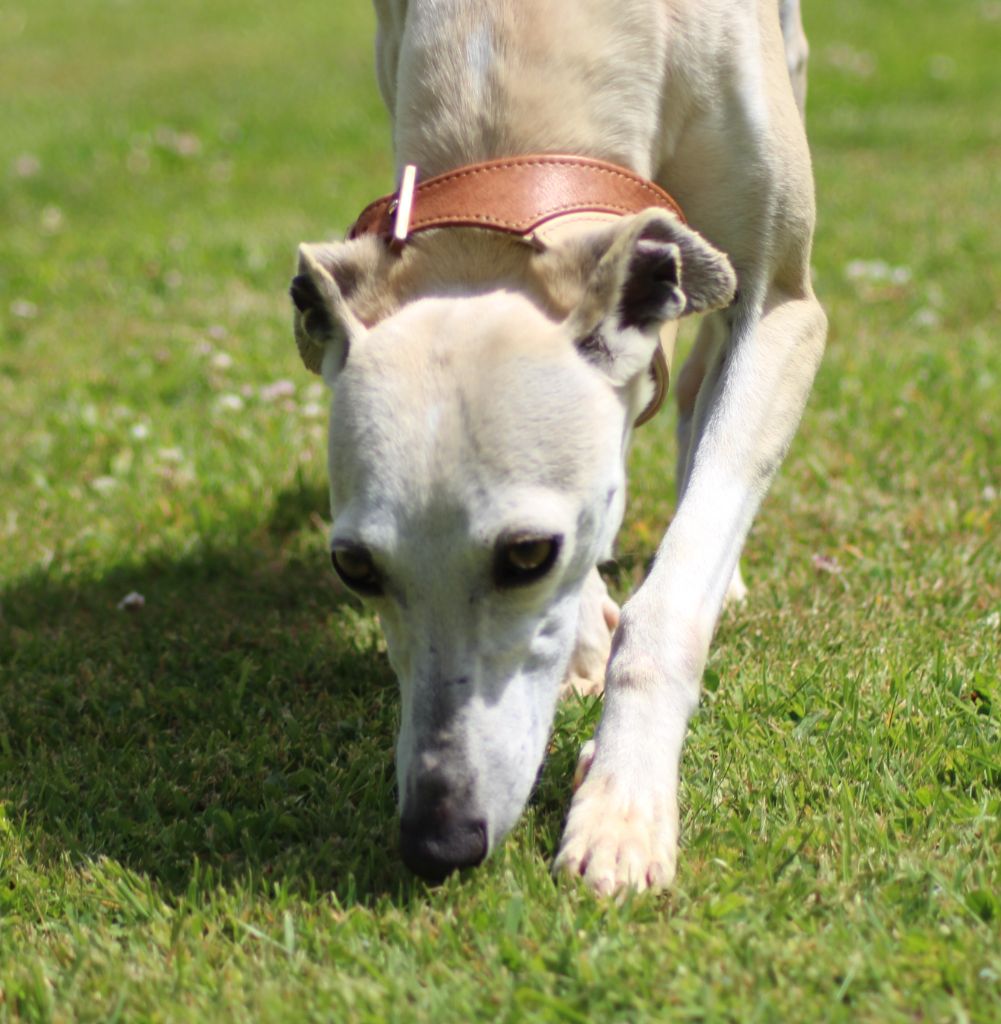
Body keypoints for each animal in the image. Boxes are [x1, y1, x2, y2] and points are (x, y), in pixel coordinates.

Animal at [288, 0, 827, 892]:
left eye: (526, 554)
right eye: (354, 568)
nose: (438, 841)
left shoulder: (783, 306)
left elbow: (673, 588)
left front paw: (620, 807)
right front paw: (585, 642)